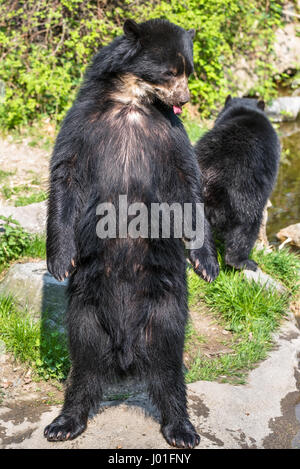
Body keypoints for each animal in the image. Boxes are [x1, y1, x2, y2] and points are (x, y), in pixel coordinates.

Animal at [44, 19, 218, 450]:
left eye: (189, 70)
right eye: (171, 72)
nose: (185, 100)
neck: (131, 103)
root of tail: (125, 354)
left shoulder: (170, 135)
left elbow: (188, 183)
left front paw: (206, 264)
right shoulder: (83, 123)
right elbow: (64, 174)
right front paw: (59, 261)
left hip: (165, 308)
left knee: (170, 367)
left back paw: (181, 428)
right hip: (85, 307)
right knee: (83, 363)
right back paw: (65, 421)